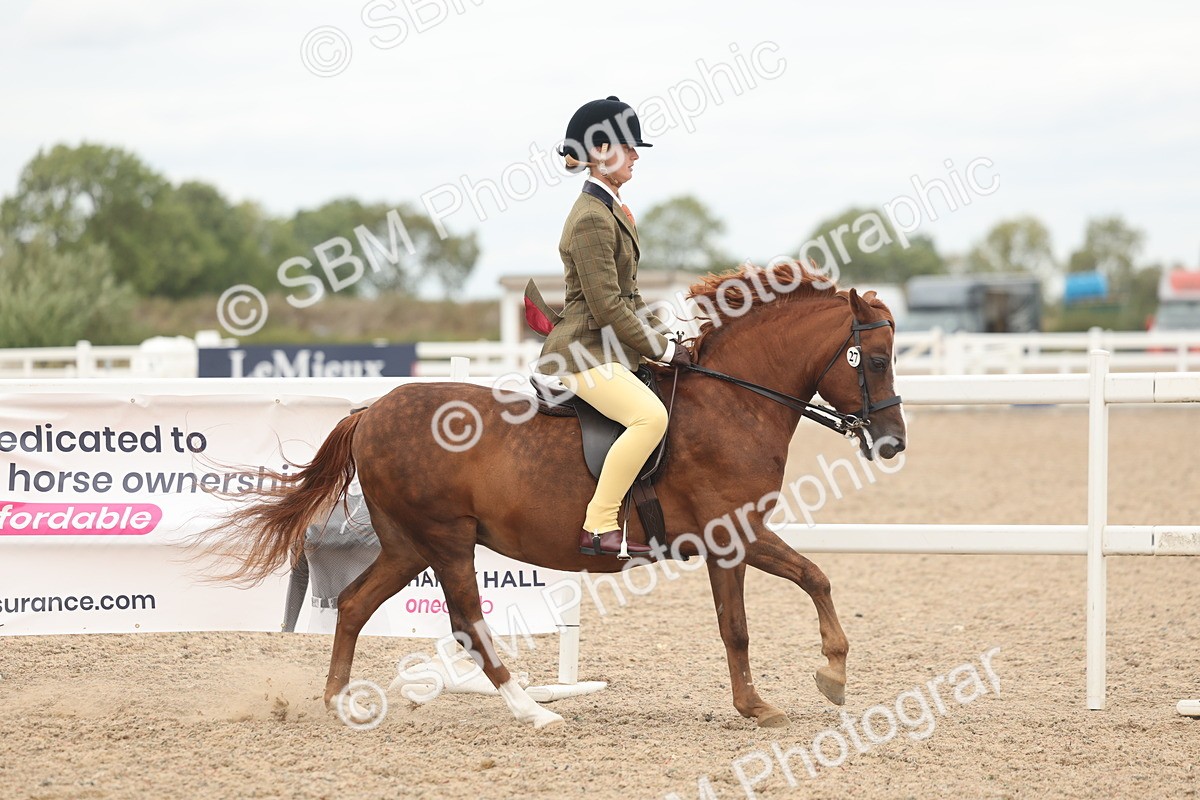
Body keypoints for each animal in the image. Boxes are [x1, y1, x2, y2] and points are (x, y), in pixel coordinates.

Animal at [208, 261, 907, 729]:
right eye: (873, 360)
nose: (893, 443)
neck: (733, 401)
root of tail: (372, 410)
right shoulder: (732, 537)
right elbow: (752, 616)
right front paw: (781, 696)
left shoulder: (738, 538)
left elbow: (805, 583)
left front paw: (820, 678)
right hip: (446, 539)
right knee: (468, 622)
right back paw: (531, 711)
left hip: (409, 544)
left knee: (354, 604)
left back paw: (338, 702)